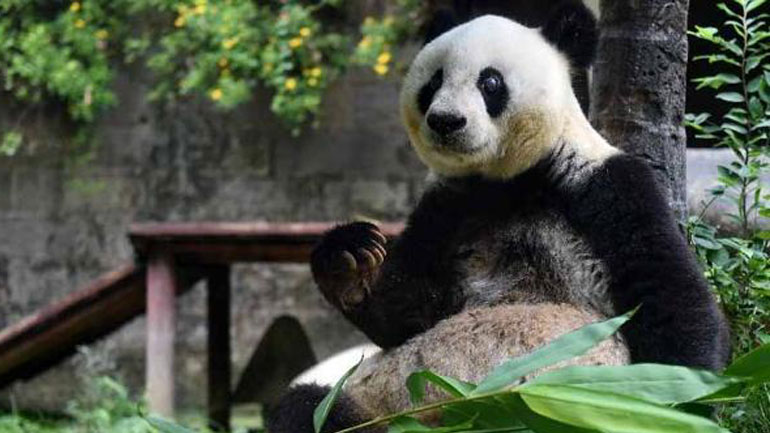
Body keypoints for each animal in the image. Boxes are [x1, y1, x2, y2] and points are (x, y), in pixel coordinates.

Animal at [267, 3, 731, 433]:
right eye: (432, 83)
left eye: (489, 82)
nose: (445, 121)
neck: (509, 179)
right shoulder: (449, 205)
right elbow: (405, 314)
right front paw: (352, 260)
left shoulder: (606, 186)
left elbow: (668, 294)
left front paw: (677, 403)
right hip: (373, 405)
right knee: (305, 408)